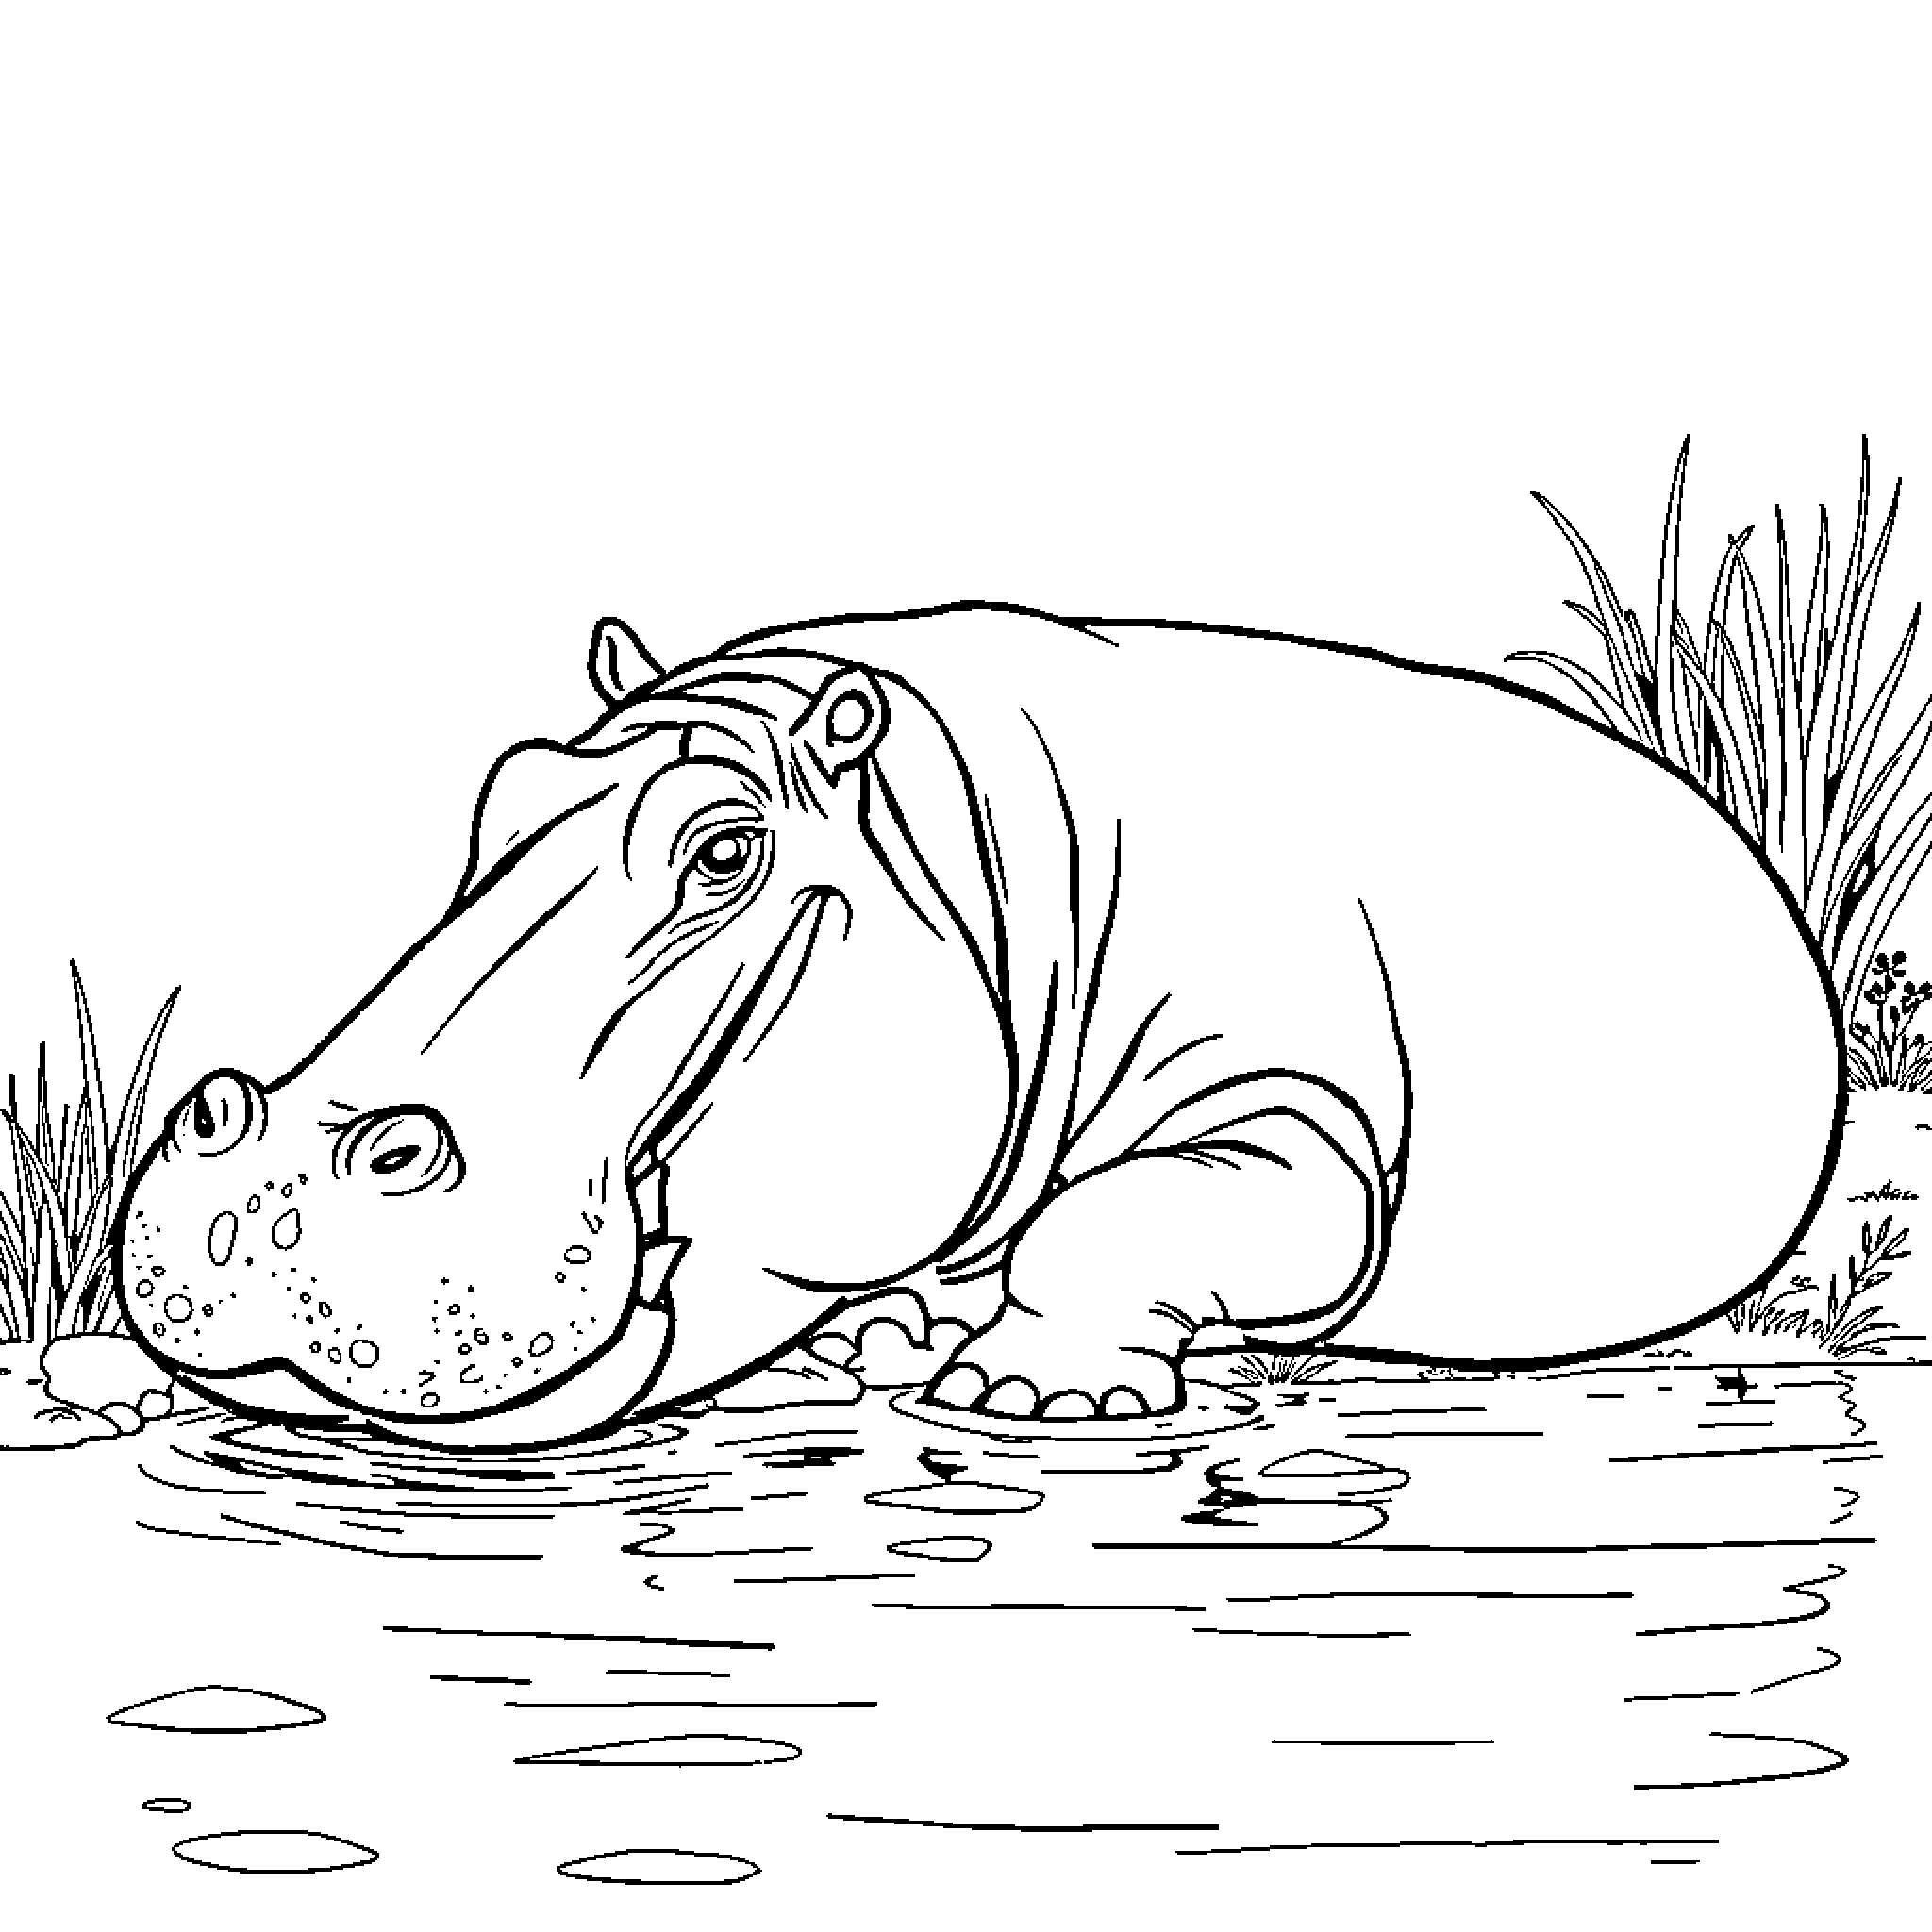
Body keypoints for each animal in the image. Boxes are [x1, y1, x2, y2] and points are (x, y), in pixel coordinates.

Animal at [111, 602, 1844, 1448]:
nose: (267, 1188)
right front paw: (902, 1343)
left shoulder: (1296, 1118)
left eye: (722, 848)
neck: (965, 843)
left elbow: (1125, 1212)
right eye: (505, 790)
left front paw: (1027, 1399)